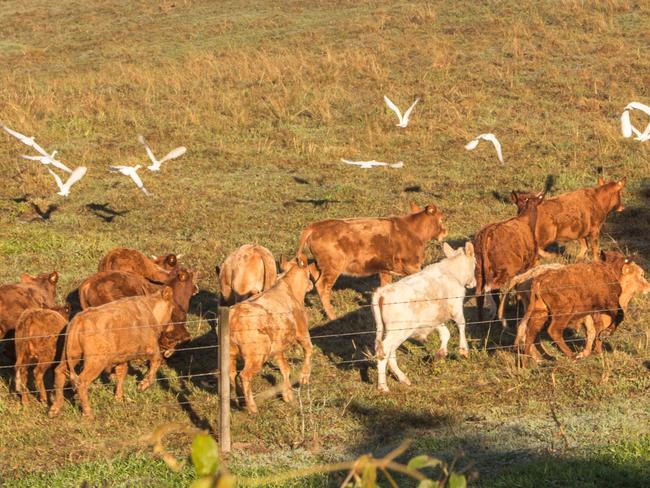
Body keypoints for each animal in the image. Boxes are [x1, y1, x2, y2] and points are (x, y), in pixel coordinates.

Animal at [47, 286, 177, 420]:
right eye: (172, 308)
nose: (172, 327)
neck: (149, 309)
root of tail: (79, 318)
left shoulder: (122, 357)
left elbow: (121, 373)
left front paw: (118, 398)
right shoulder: (150, 347)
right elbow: (157, 361)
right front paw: (142, 386)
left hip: (71, 355)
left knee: (59, 372)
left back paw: (54, 409)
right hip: (96, 361)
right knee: (82, 381)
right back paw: (88, 413)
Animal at [228, 254, 314, 414]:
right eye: (309, 273)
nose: (311, 284)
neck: (289, 289)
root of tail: (233, 316)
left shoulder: (278, 346)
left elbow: (285, 368)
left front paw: (288, 395)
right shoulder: (302, 332)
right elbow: (309, 350)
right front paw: (304, 378)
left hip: (231, 354)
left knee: (231, 373)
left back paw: (239, 400)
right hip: (256, 355)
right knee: (244, 375)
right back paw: (252, 407)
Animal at [294, 203, 446, 320]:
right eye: (441, 219)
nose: (445, 231)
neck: (413, 231)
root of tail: (315, 226)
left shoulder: (385, 269)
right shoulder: (412, 266)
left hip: (322, 264)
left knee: (312, 270)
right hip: (333, 267)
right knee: (322, 286)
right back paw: (332, 316)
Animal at [372, 243, 474, 392]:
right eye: (476, 263)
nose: (474, 283)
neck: (450, 273)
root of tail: (382, 292)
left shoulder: (433, 318)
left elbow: (445, 333)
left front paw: (441, 353)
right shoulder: (456, 307)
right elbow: (462, 324)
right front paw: (464, 350)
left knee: (390, 352)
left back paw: (403, 378)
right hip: (398, 331)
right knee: (384, 350)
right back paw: (383, 386)